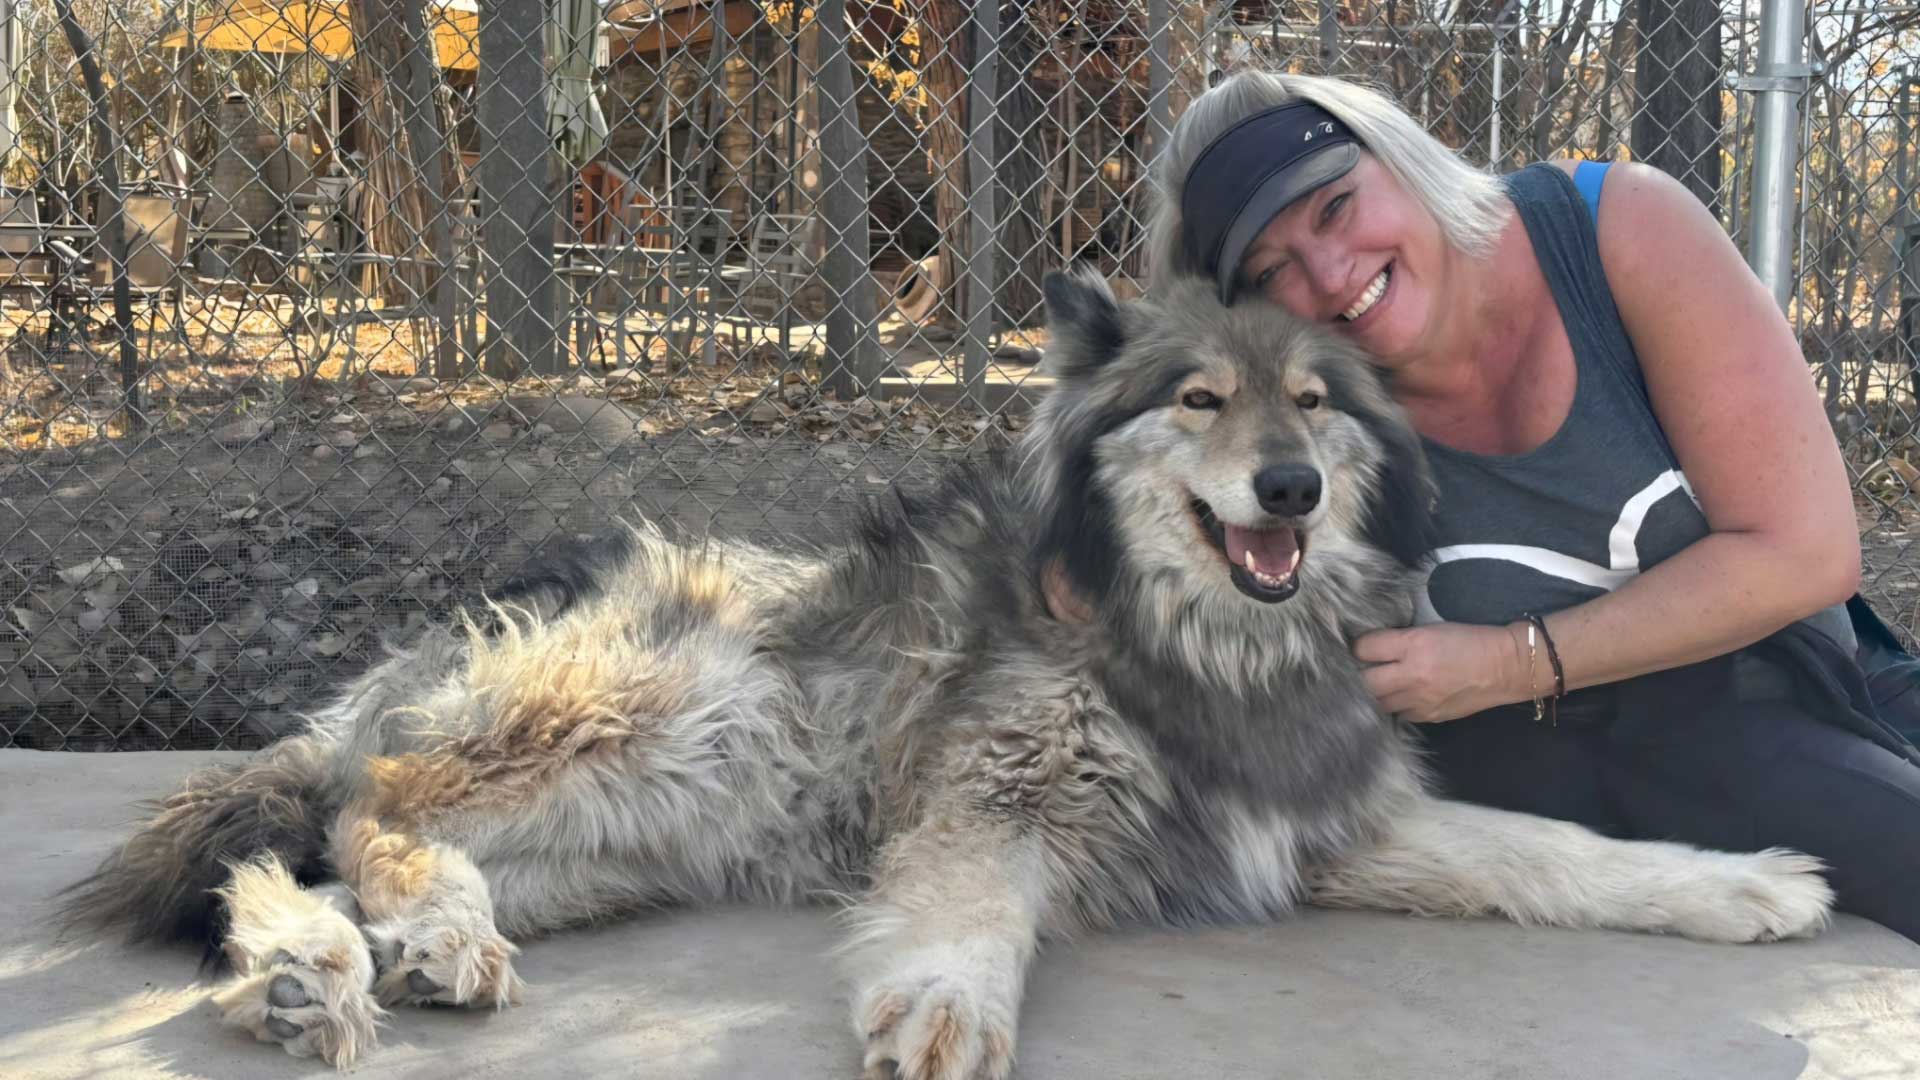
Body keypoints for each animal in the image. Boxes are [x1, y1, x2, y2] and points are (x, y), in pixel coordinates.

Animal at [54, 269, 1832, 1078]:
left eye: (1318, 405)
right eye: (1199, 400)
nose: (1289, 492)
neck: (1202, 643)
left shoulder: (1323, 827)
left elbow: (1561, 853)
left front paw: (1740, 882)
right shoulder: (996, 795)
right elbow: (971, 910)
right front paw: (947, 1007)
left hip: (605, 854)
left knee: (297, 869)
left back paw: (313, 978)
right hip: (655, 716)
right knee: (380, 807)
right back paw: (401, 940)